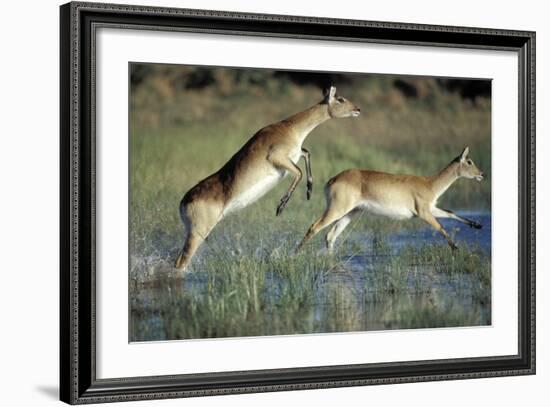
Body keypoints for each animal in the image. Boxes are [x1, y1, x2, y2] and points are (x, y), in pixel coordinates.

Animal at [176, 86, 362, 270]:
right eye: (341, 99)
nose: (358, 109)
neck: (290, 128)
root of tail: (183, 203)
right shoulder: (277, 158)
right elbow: (299, 172)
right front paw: (281, 206)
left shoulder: (294, 155)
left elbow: (306, 153)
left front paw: (309, 191)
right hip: (198, 233)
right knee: (181, 262)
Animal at [300, 148, 486, 253]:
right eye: (469, 161)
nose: (482, 174)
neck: (430, 184)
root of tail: (332, 180)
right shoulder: (423, 213)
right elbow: (441, 227)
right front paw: (456, 248)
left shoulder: (432, 209)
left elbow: (451, 213)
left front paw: (477, 225)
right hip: (337, 209)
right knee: (314, 227)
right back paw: (296, 255)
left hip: (349, 213)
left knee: (330, 235)